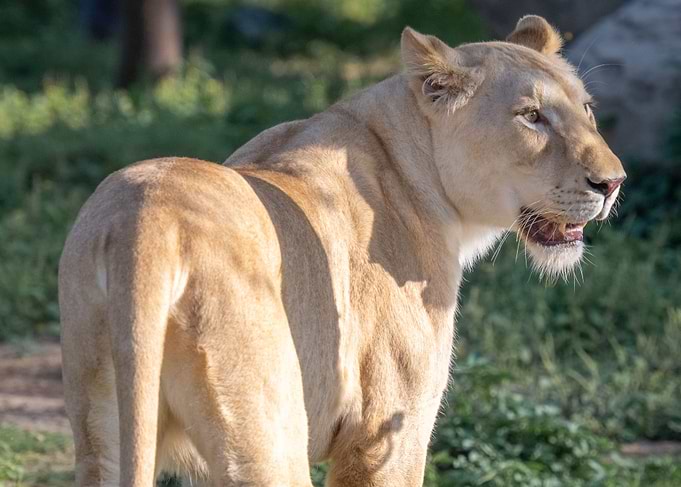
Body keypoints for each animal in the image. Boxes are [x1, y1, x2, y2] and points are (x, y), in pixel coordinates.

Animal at [59, 15, 625, 486]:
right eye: (531, 116)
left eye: (587, 108)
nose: (613, 183)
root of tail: (146, 221)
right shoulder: (387, 433)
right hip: (268, 436)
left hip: (104, 429)